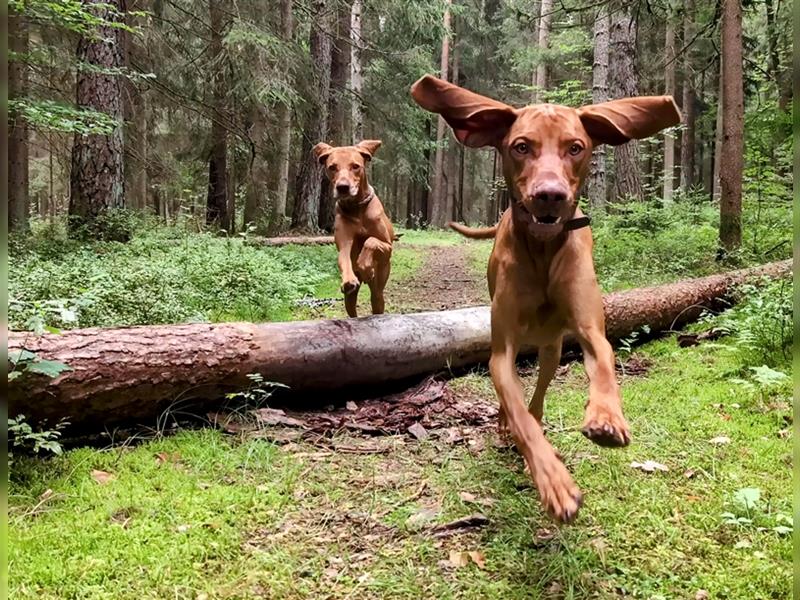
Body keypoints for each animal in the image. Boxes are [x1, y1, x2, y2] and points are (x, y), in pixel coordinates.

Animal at [316, 139, 396, 318]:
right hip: (349, 300)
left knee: (377, 299)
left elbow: (371, 241)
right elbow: (345, 257)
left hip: (379, 288)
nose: (343, 187)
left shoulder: (388, 246)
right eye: (332, 167)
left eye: (355, 166)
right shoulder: (344, 243)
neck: (357, 208)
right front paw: (349, 279)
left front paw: (365, 265)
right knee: (351, 307)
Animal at [412, 75, 680, 524]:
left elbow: (604, 361)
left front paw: (606, 417)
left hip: (553, 349)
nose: (550, 195)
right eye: (521, 146)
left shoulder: (589, 328)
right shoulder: (501, 351)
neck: (542, 249)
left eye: (576, 147)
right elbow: (518, 414)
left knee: (539, 394)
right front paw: (554, 481)